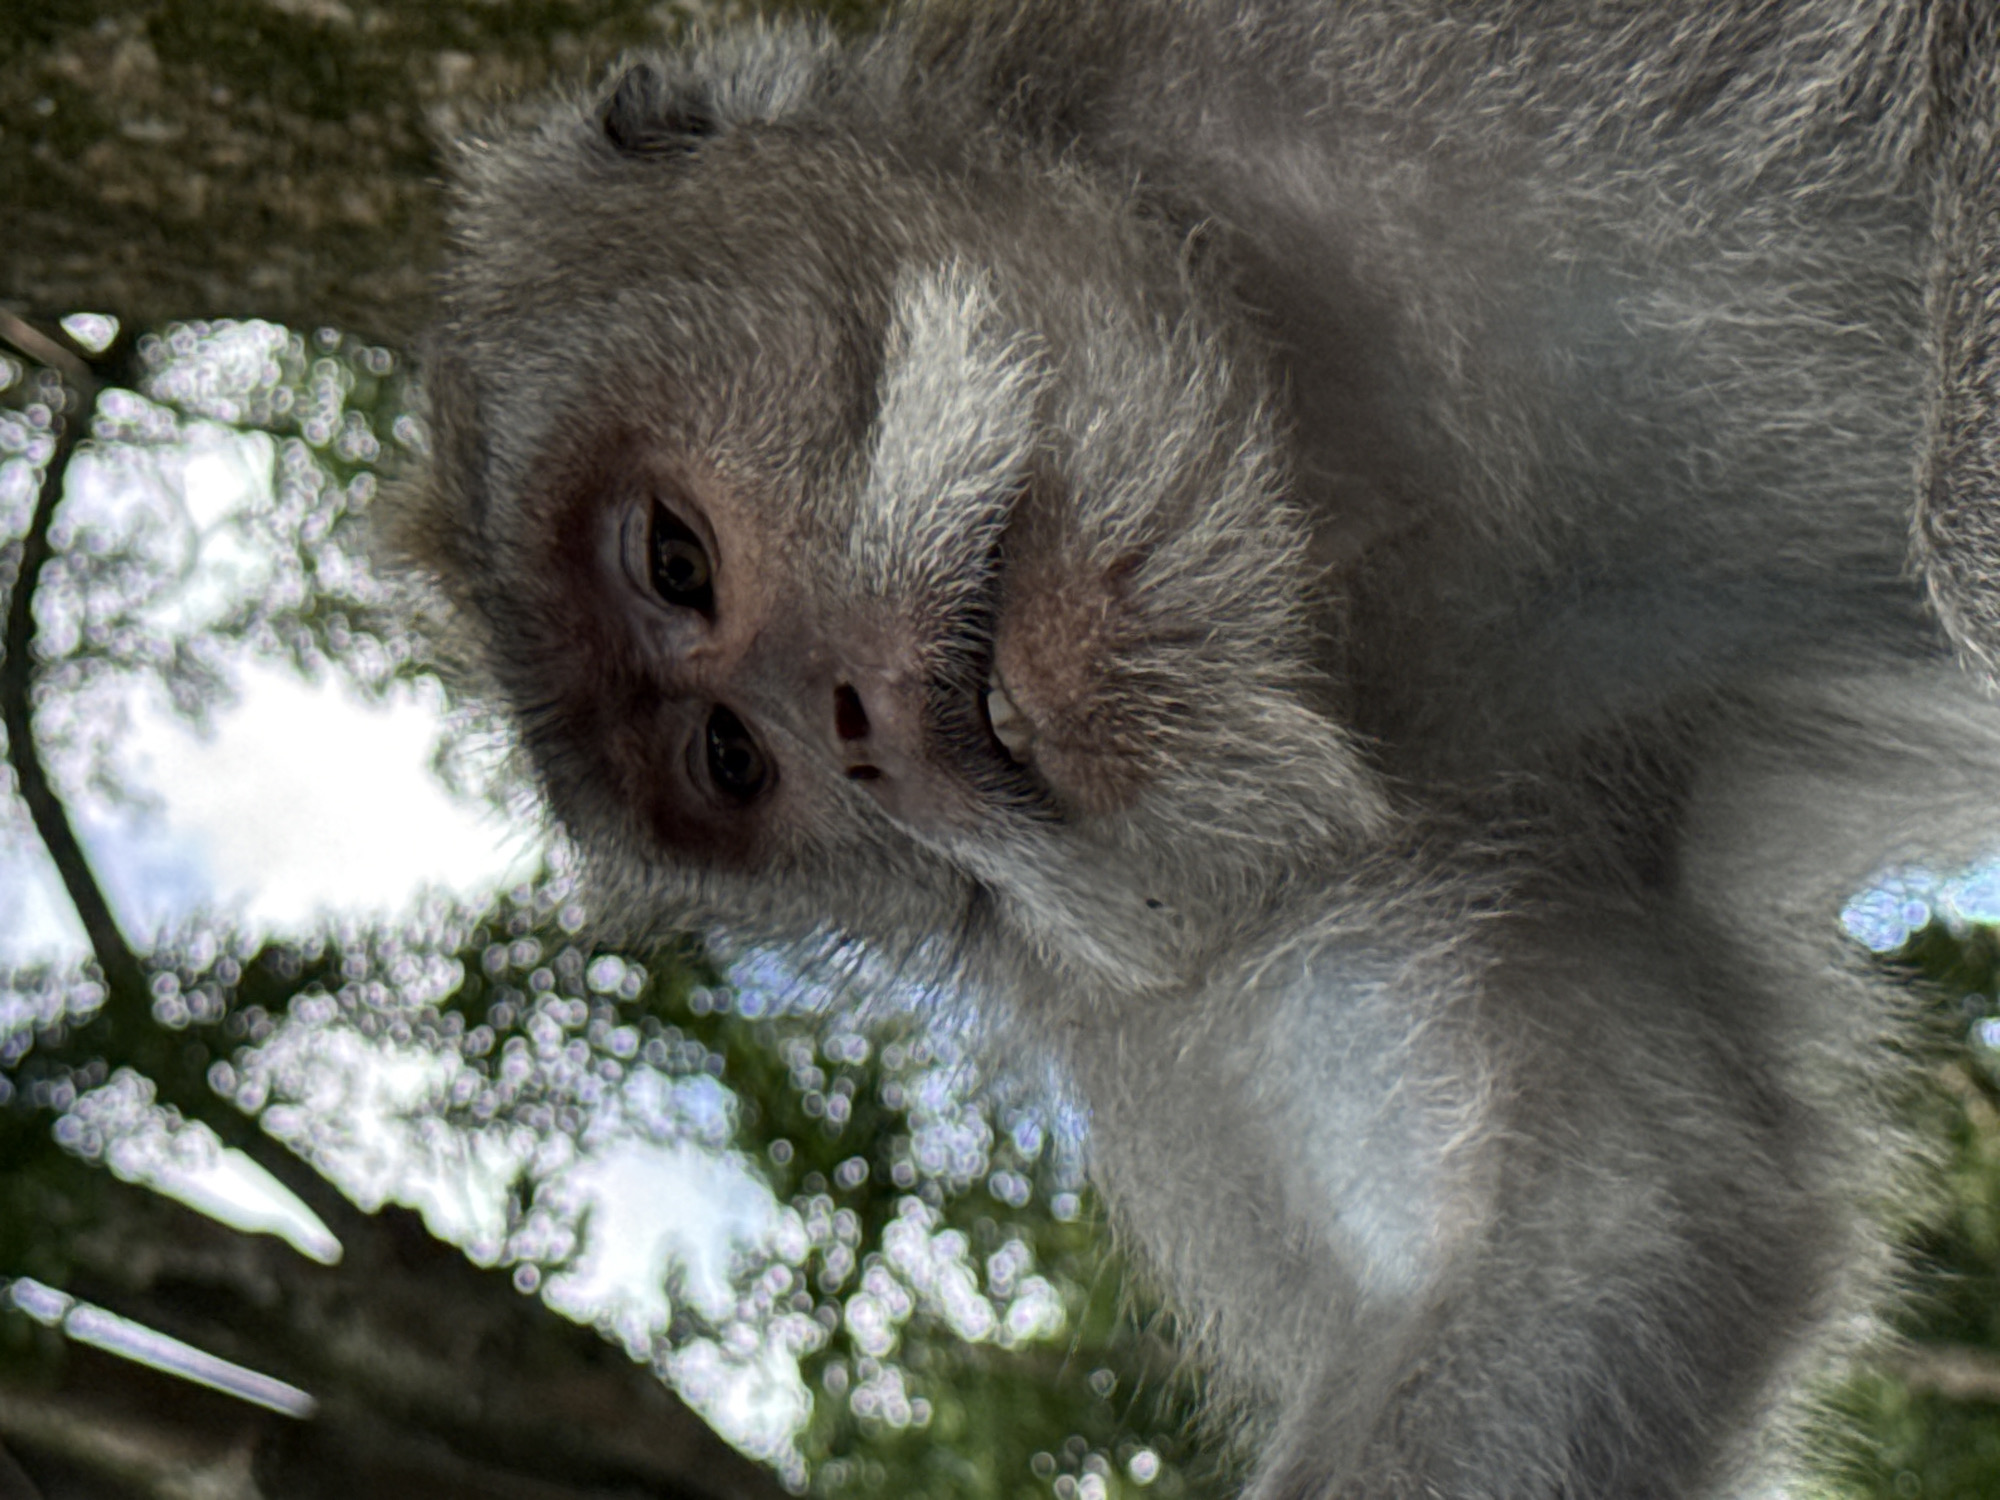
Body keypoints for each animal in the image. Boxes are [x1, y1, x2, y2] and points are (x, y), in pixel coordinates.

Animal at [388, 2, 2000, 1495]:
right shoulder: (1258, 937)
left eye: (674, 560)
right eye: (738, 764)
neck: (1323, 521)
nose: (856, 738)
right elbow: (1612, 1223)